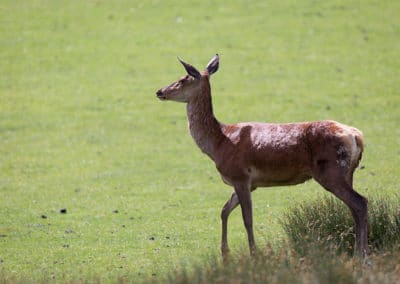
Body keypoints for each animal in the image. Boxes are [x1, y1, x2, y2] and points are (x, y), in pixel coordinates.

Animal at [155, 54, 368, 260]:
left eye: (183, 79)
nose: (159, 91)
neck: (218, 144)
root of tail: (356, 136)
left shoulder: (240, 175)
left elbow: (247, 219)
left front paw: (254, 254)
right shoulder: (250, 183)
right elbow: (224, 210)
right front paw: (225, 253)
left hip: (331, 170)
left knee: (360, 202)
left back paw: (361, 256)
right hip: (348, 172)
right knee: (353, 207)